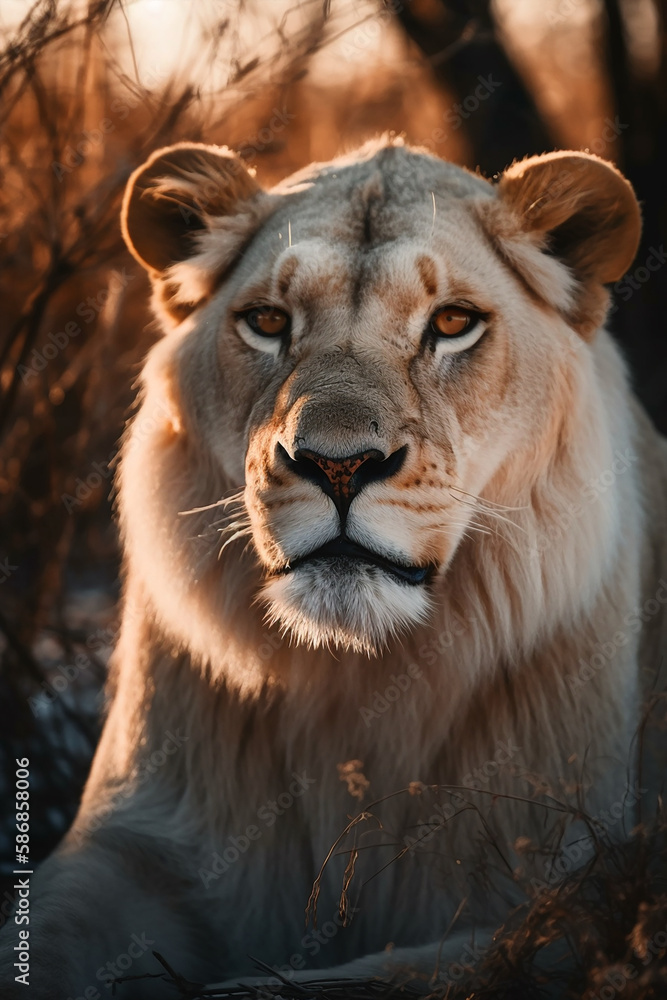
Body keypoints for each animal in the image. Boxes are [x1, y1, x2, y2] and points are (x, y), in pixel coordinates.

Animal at [1, 138, 666, 999]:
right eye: (267, 322)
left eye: (452, 322)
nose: (337, 465)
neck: (358, 684)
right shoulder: (127, 850)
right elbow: (39, 941)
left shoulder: (573, 894)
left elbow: (350, 979)